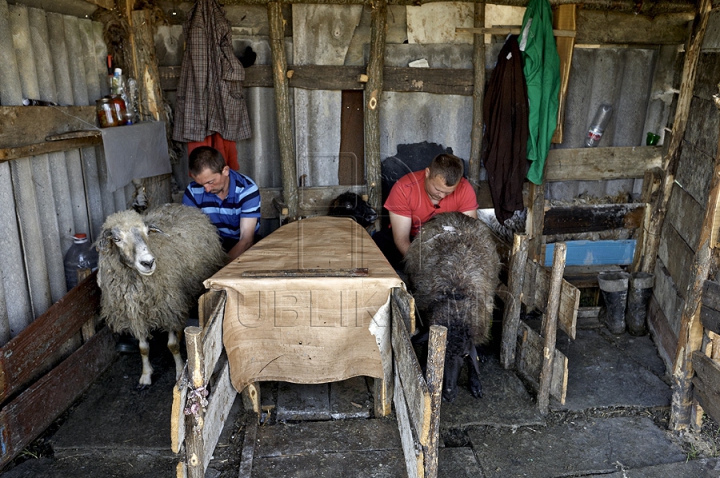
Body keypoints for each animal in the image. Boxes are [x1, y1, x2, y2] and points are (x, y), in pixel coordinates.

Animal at [95, 204, 225, 386]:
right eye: (117, 239)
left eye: (147, 232)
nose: (148, 262)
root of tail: (181, 206)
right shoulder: (136, 315)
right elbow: (143, 348)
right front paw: (145, 375)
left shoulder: (168, 307)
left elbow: (172, 345)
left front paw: (179, 373)